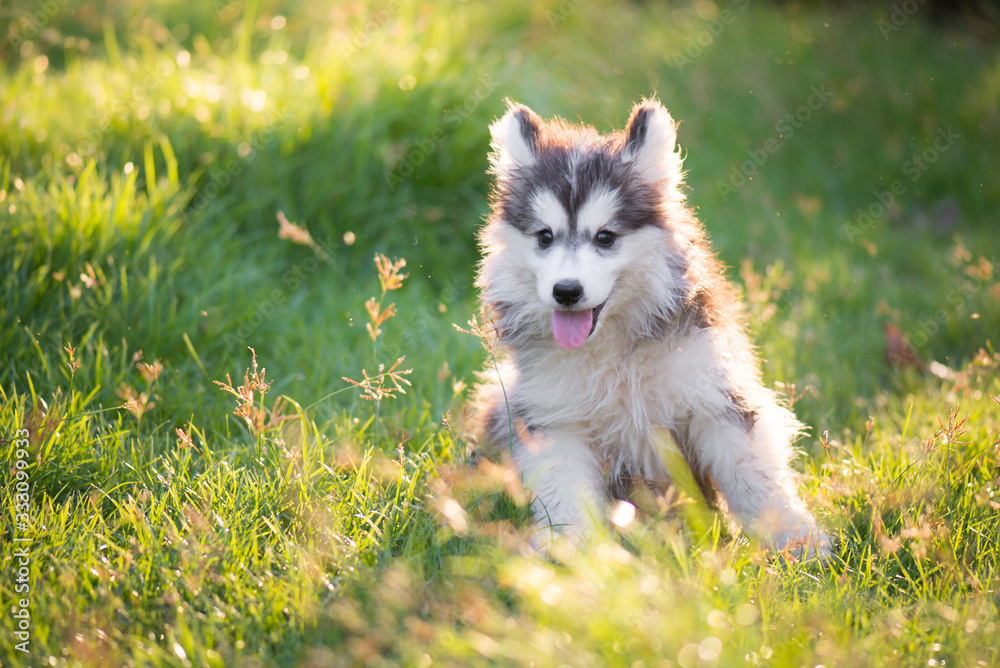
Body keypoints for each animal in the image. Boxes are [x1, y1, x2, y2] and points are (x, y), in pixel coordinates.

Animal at [472, 98, 832, 560]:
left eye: (605, 237)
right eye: (545, 237)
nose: (566, 291)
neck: (611, 348)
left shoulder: (715, 396)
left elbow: (754, 478)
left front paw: (796, 540)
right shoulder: (554, 419)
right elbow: (565, 491)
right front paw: (573, 552)